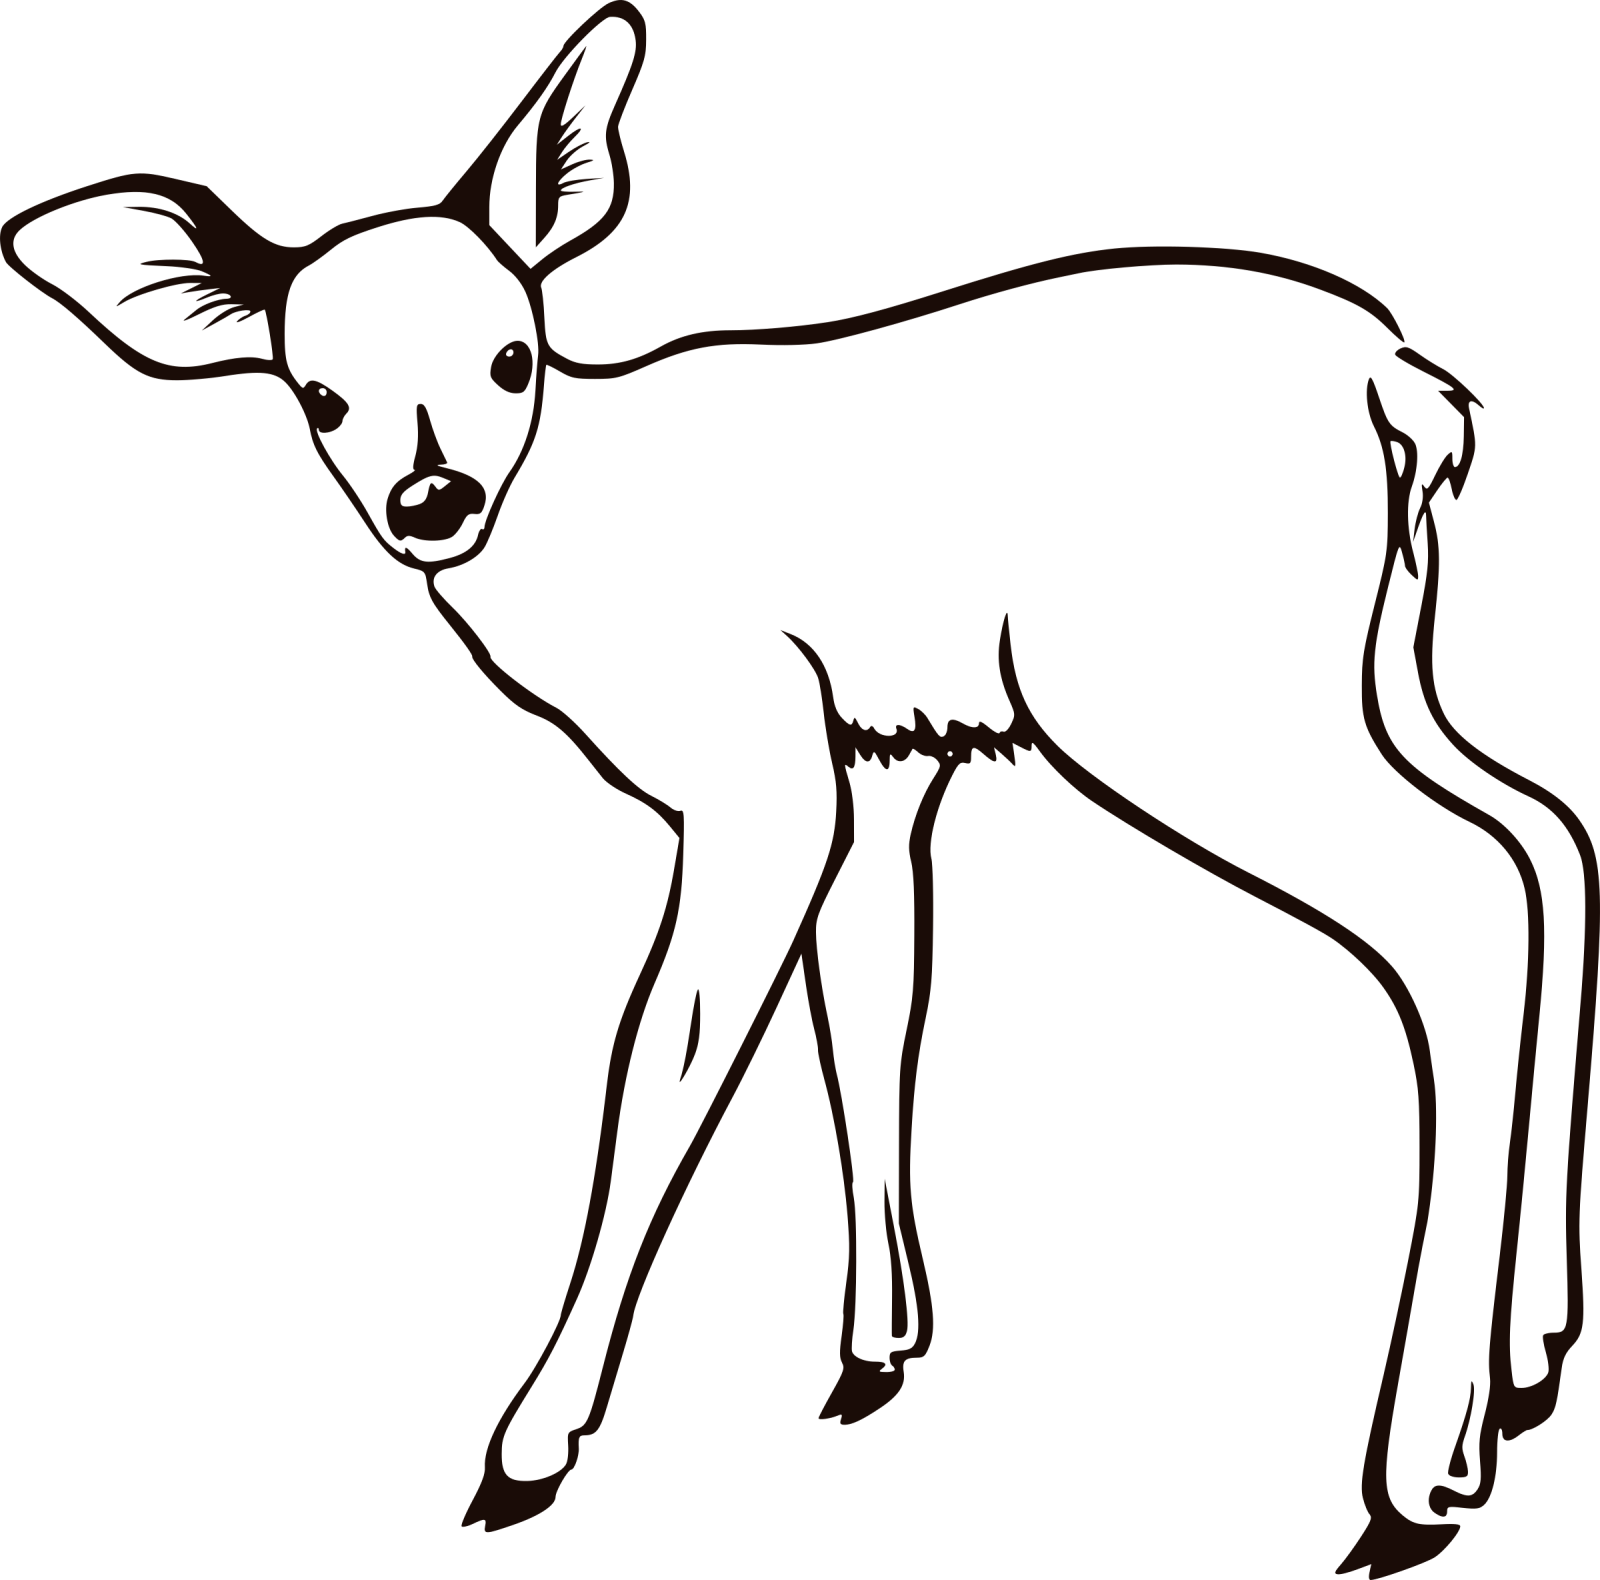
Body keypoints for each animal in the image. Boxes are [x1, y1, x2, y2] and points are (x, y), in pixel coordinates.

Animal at [4, 5, 1591, 1574]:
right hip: (1365, 667)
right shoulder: (879, 749)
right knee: (1538, 837)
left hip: (1183, 691)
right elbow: (872, 990)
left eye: (514, 355)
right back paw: (1526, 1356)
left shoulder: (755, 756)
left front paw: (528, 1443)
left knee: (1459, 895)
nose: (432, 500)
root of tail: (1399, 385)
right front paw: (874, 1350)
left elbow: (666, 1059)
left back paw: (1421, 1469)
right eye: (319, 393)